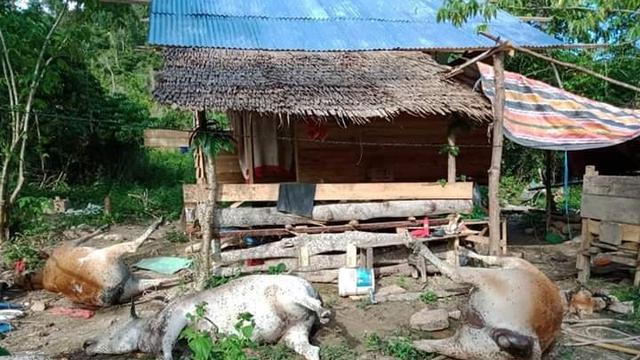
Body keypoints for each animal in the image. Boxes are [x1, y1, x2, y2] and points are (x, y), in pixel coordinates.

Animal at [82, 274, 330, 358]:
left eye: (114, 328)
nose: (86, 343)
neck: (149, 328)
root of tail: (309, 284)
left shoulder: (176, 318)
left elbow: (167, 346)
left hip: (288, 292)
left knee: (315, 304)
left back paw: (325, 312)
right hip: (293, 333)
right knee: (311, 350)